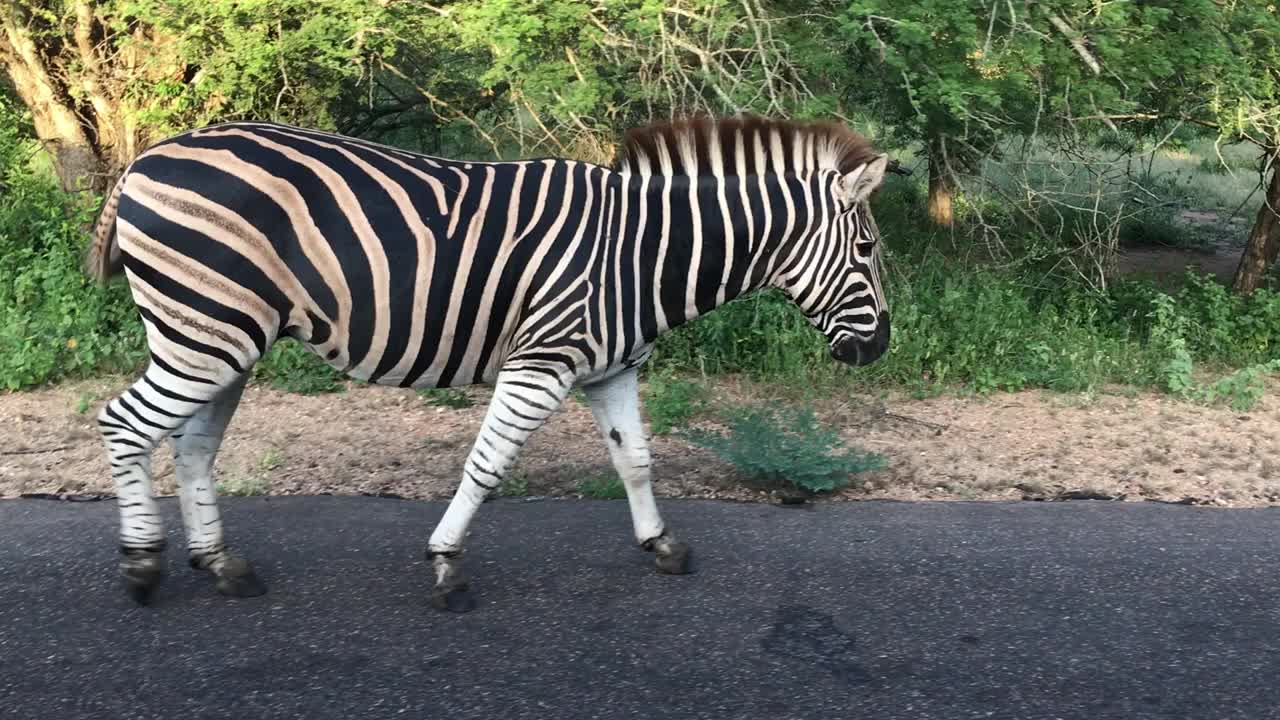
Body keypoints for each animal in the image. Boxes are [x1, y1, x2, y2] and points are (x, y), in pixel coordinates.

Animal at [85, 114, 896, 607]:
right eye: (866, 250)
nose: (880, 348)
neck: (639, 252)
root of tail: (148, 157)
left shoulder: (610, 367)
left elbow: (635, 460)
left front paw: (662, 545)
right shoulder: (543, 359)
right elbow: (487, 465)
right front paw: (447, 565)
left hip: (227, 341)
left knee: (191, 447)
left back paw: (222, 565)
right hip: (204, 331)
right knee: (124, 425)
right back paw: (143, 562)